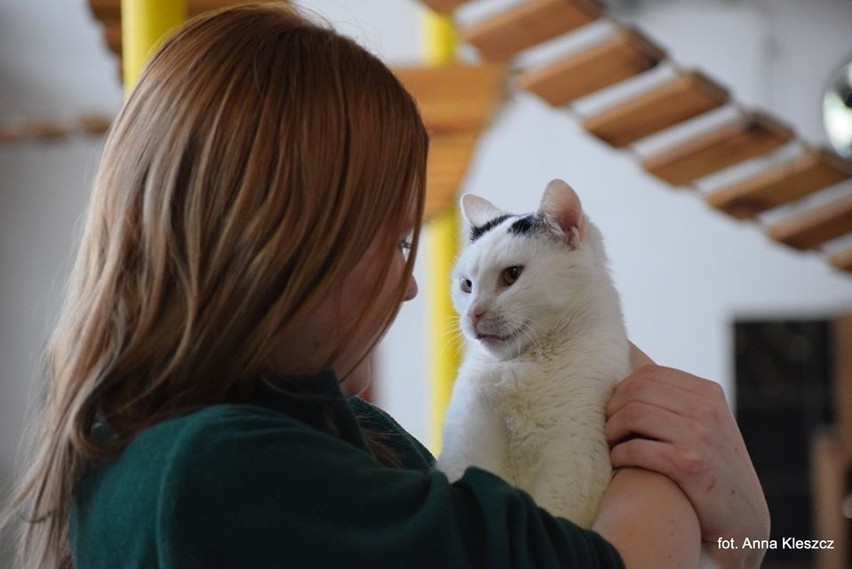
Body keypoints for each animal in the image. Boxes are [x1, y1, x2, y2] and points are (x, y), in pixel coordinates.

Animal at [436, 179, 628, 528]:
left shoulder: (571, 469)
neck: (521, 366)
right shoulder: (466, 450)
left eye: (512, 275)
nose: (473, 315)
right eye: (467, 285)